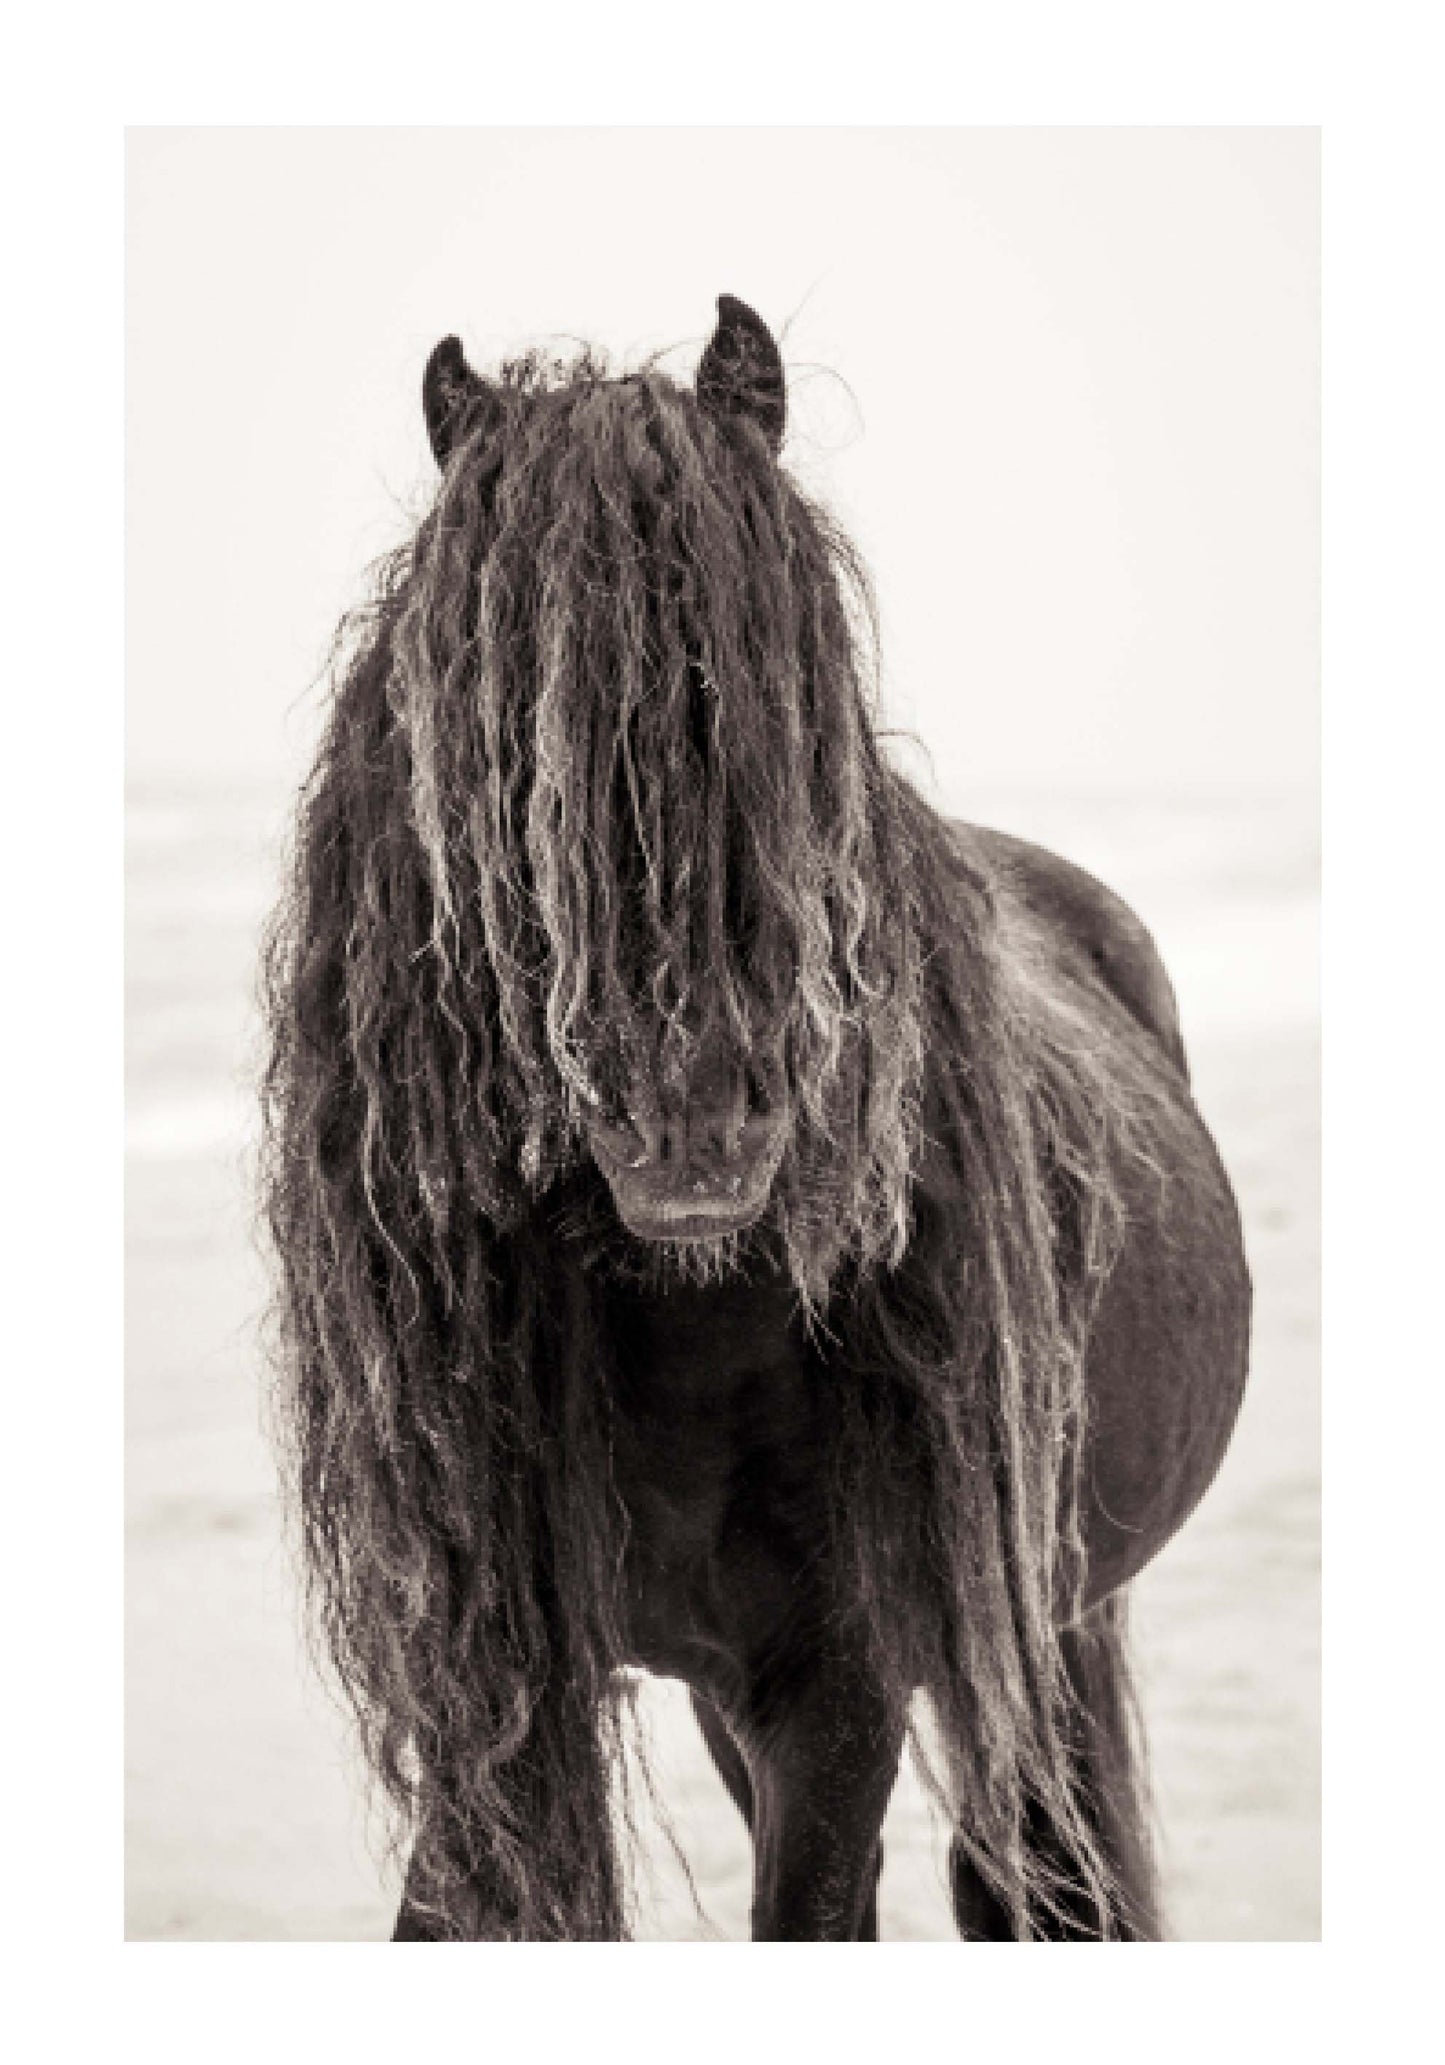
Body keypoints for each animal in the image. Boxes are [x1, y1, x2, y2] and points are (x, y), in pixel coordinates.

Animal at [261, 293, 1250, 1942]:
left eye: (796, 687)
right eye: (496, 731)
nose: (695, 1120)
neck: (682, 1316)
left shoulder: (838, 1695)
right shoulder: (511, 1703)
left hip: (1043, 1626)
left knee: (1035, 1871)